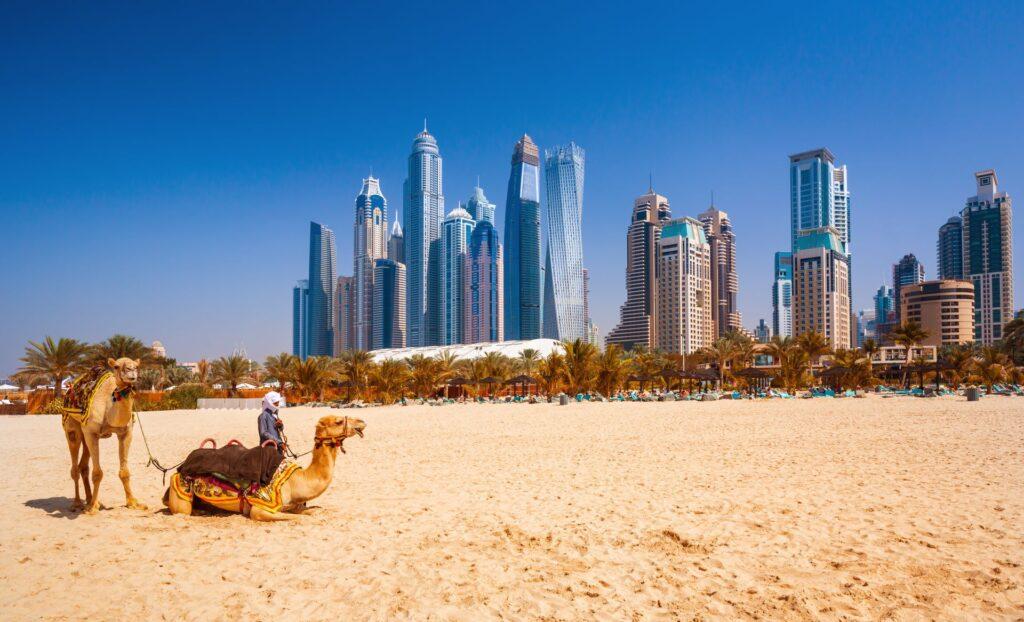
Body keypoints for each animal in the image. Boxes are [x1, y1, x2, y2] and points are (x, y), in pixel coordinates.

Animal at [61, 358, 146, 514]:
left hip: (85, 437)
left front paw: (133, 502)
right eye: (117, 366)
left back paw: (90, 499)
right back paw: (78, 503)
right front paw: (92, 508)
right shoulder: (92, 433)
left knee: (83, 466)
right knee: (75, 467)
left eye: (137, 366)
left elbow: (125, 472)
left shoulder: (126, 433)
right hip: (72, 429)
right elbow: (97, 473)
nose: (131, 371)